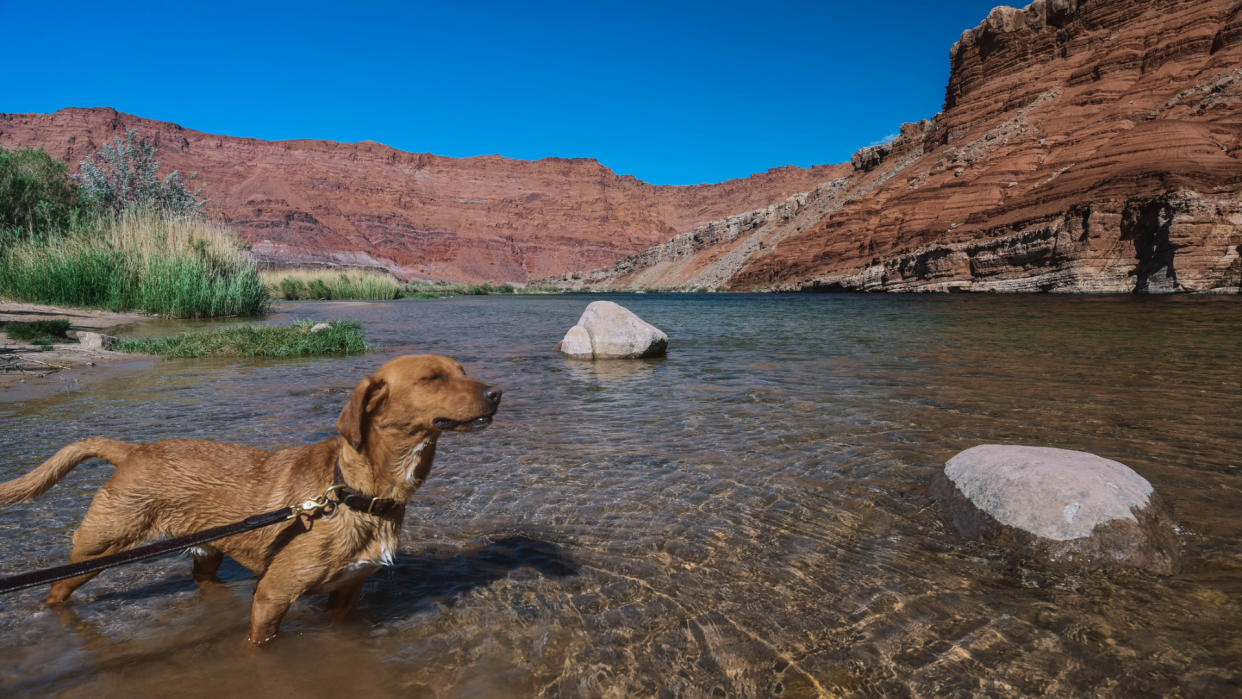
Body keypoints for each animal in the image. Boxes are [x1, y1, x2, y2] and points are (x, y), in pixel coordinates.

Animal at [0, 355, 499, 645]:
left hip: (206, 551)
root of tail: (134, 450)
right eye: (432, 378)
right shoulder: (272, 597)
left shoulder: (346, 595)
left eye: (463, 372)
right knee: (56, 592)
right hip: (98, 550)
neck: (356, 494)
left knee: (205, 581)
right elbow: (260, 645)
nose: (497, 393)